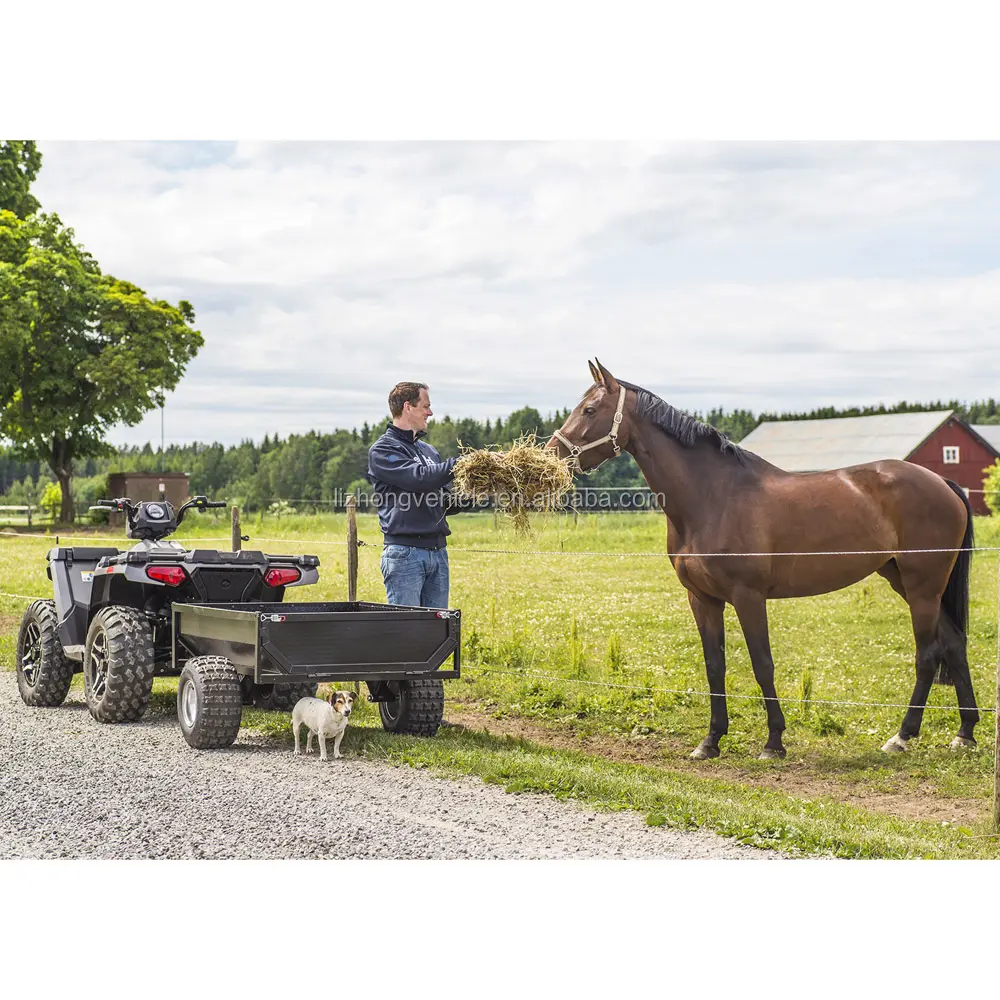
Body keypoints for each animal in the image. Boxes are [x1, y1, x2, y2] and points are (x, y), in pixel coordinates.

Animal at [548, 360, 976, 756]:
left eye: (590, 410)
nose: (553, 456)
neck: (713, 496)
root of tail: (943, 482)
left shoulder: (748, 596)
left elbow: (762, 663)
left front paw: (773, 742)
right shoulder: (702, 599)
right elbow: (714, 666)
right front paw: (711, 740)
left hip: (922, 586)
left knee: (928, 654)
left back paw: (902, 736)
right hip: (905, 580)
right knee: (954, 643)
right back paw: (965, 732)